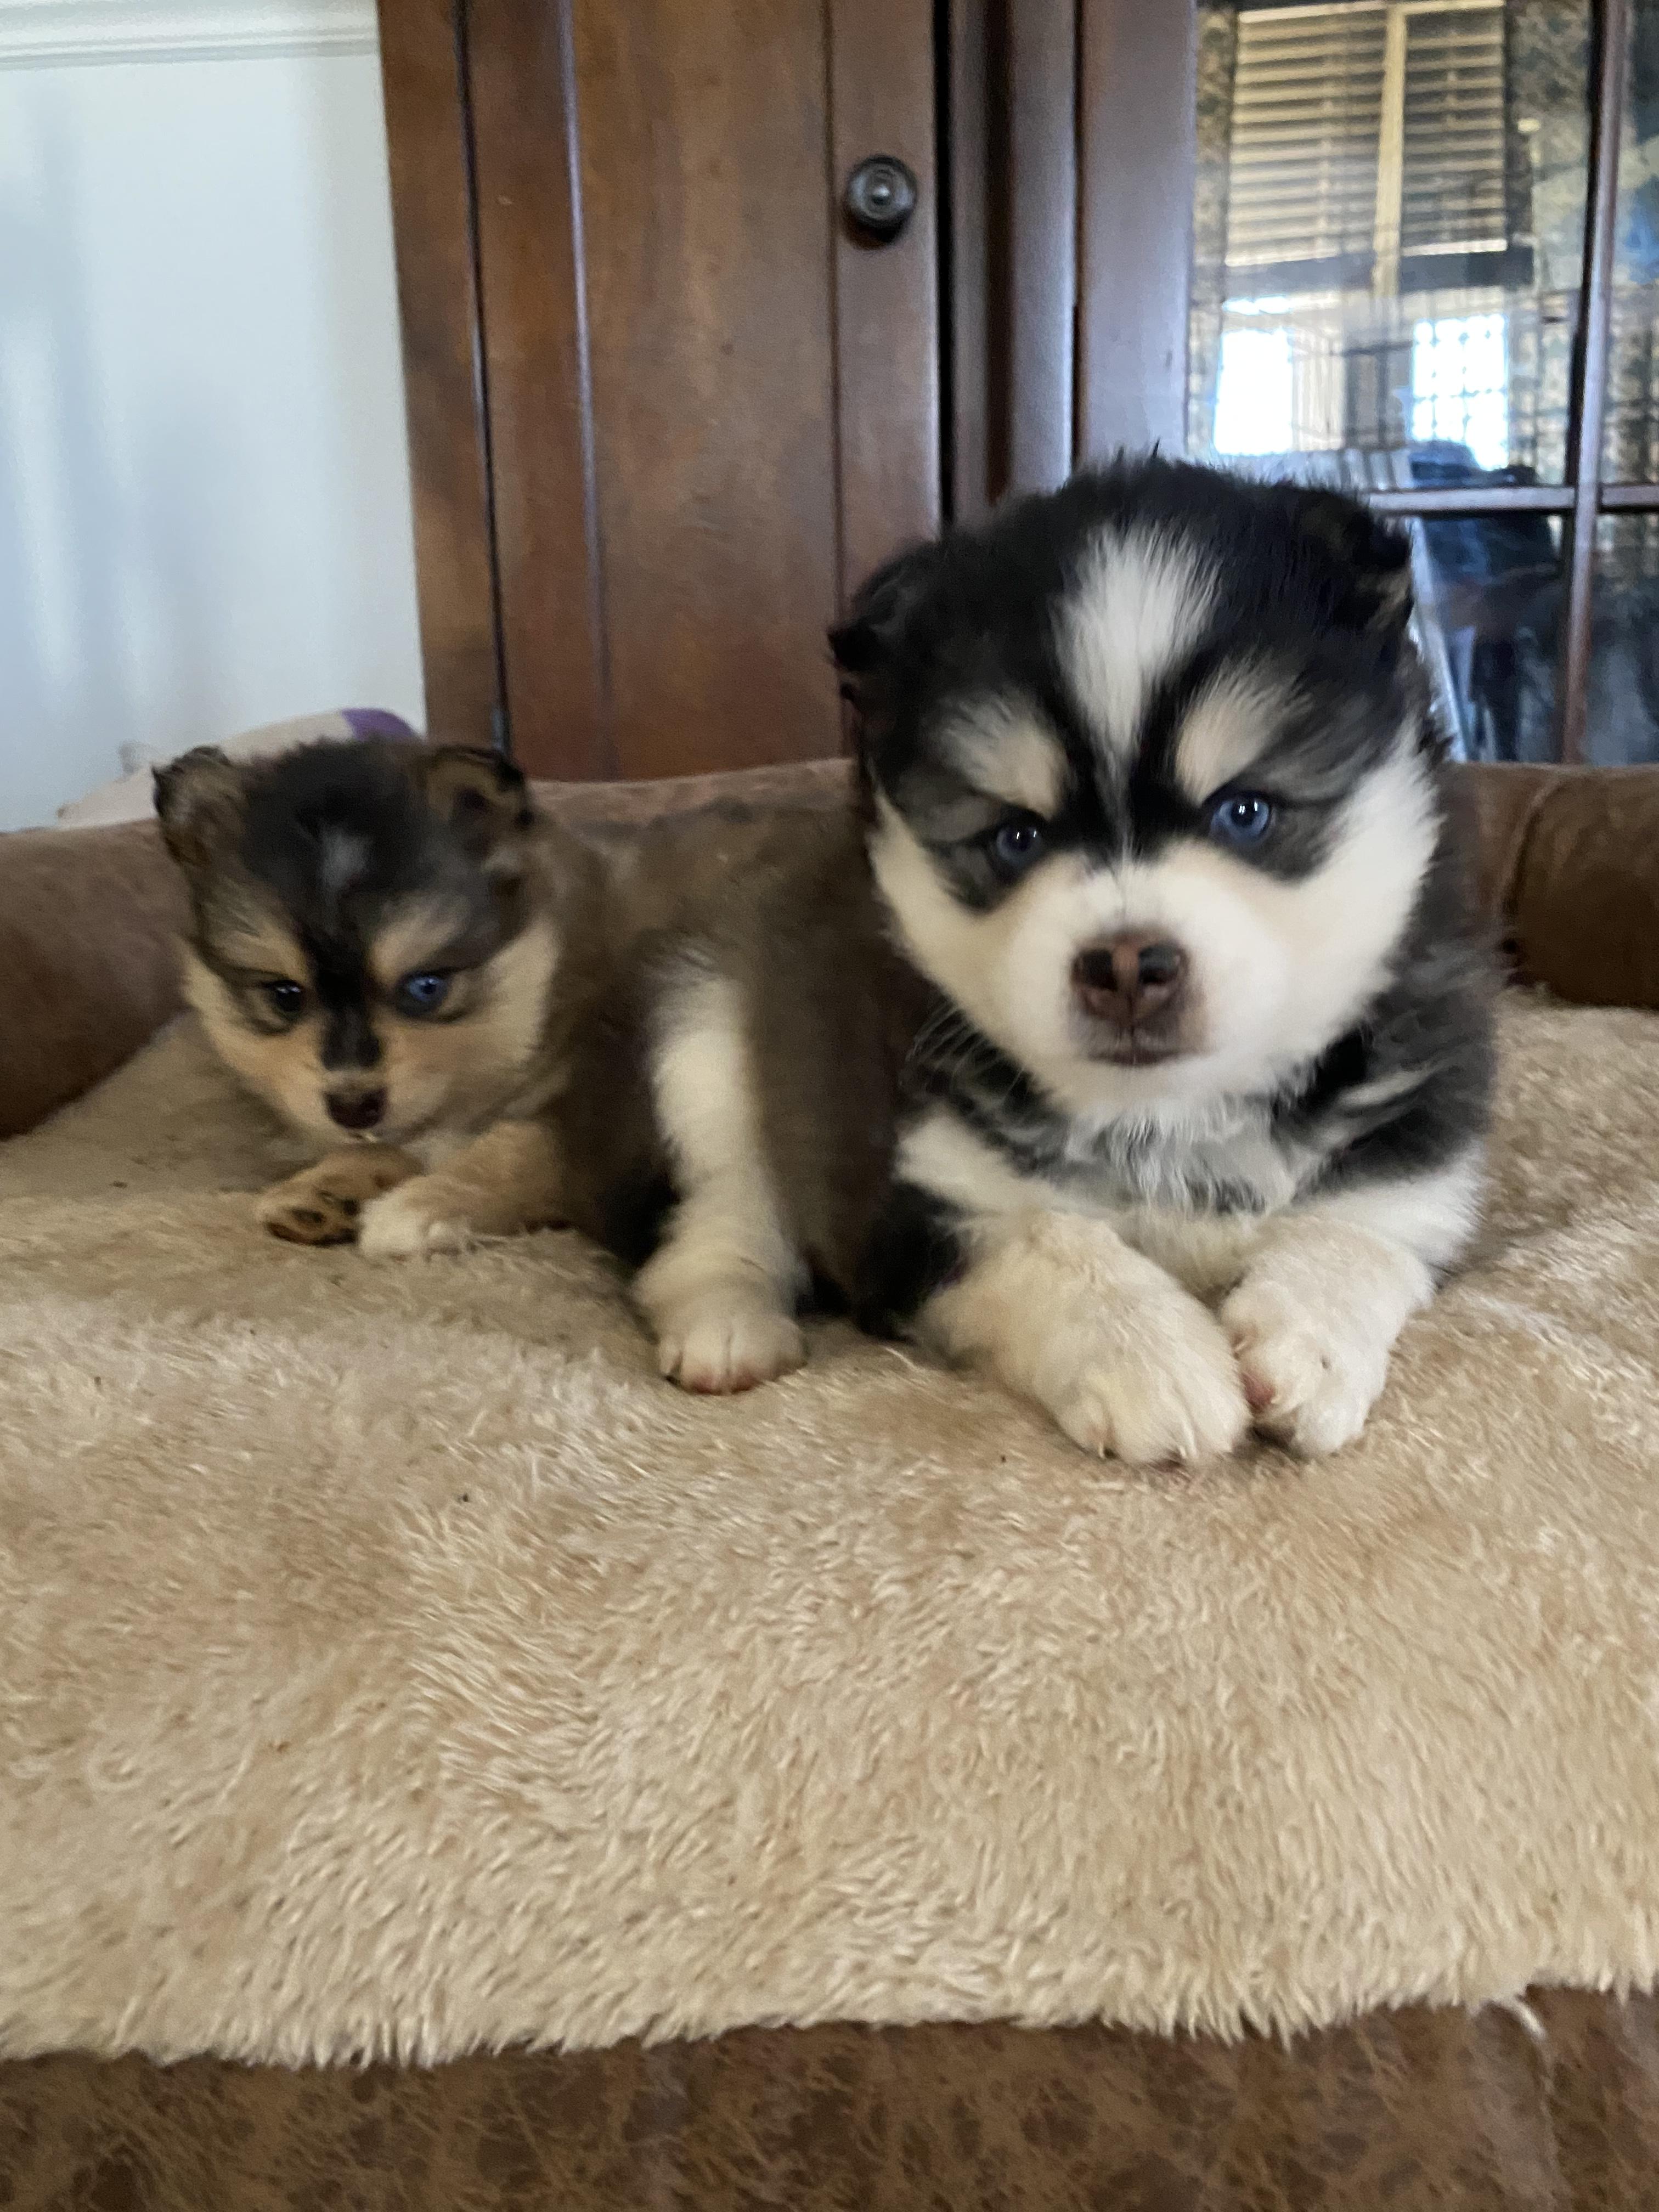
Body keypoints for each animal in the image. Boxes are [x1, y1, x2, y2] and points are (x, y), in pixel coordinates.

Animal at [828, 456, 1497, 1459]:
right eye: (1016, 837)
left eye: (1244, 811)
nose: (1126, 965)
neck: (1173, 1120)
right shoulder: (914, 1202)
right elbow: (1039, 1237)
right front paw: (1148, 1351)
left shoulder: (1415, 1156)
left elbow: (1359, 1230)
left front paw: (1313, 1338)